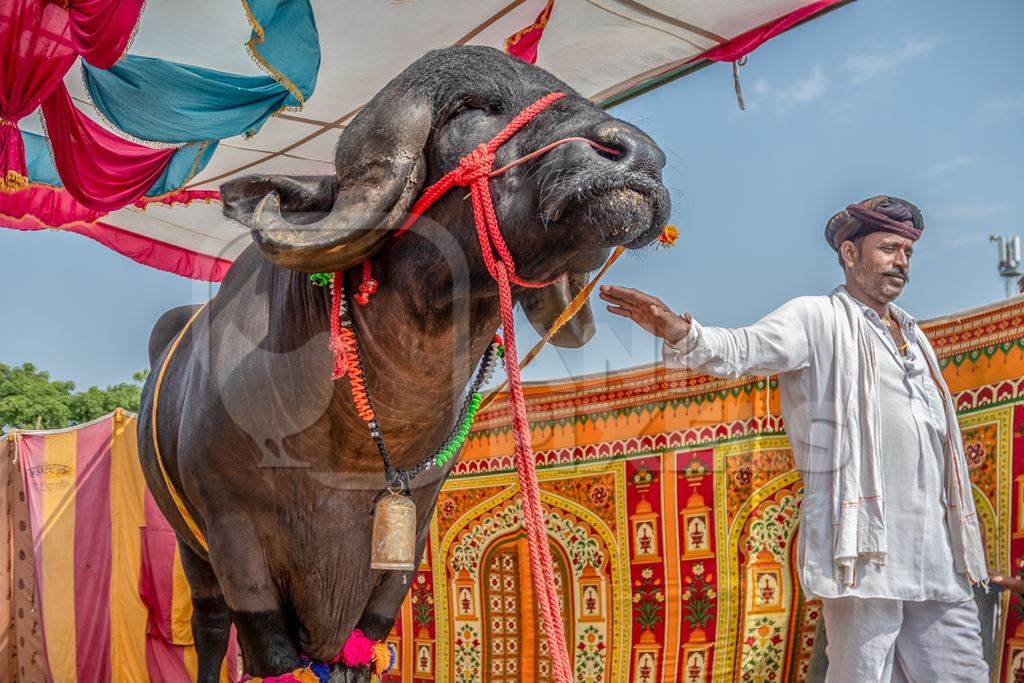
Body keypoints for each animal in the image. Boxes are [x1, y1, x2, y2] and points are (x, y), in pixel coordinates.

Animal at [138, 45, 671, 679]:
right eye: (470, 107)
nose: (638, 156)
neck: (356, 440)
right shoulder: (232, 531)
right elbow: (270, 650)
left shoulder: (410, 530)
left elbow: (363, 646)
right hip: (190, 550)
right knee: (211, 627)